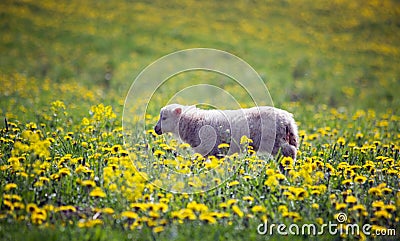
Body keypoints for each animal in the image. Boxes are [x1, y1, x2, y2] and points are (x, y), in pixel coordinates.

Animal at [155, 103, 298, 160]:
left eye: (164, 117)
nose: (155, 129)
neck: (194, 122)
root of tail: (288, 119)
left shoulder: (209, 148)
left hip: (276, 140)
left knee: (289, 152)